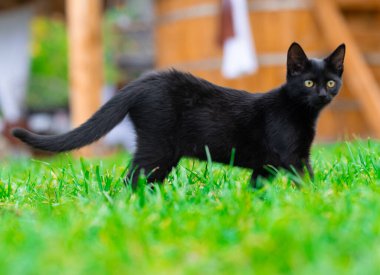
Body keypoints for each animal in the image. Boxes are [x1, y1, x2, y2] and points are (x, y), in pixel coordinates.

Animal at [11, 43, 346, 190]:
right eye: (308, 83)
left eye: (331, 82)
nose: (322, 95)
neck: (300, 112)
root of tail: (143, 81)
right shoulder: (293, 157)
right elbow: (307, 180)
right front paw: (317, 200)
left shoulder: (267, 165)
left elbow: (257, 185)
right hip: (158, 148)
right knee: (131, 178)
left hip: (163, 153)